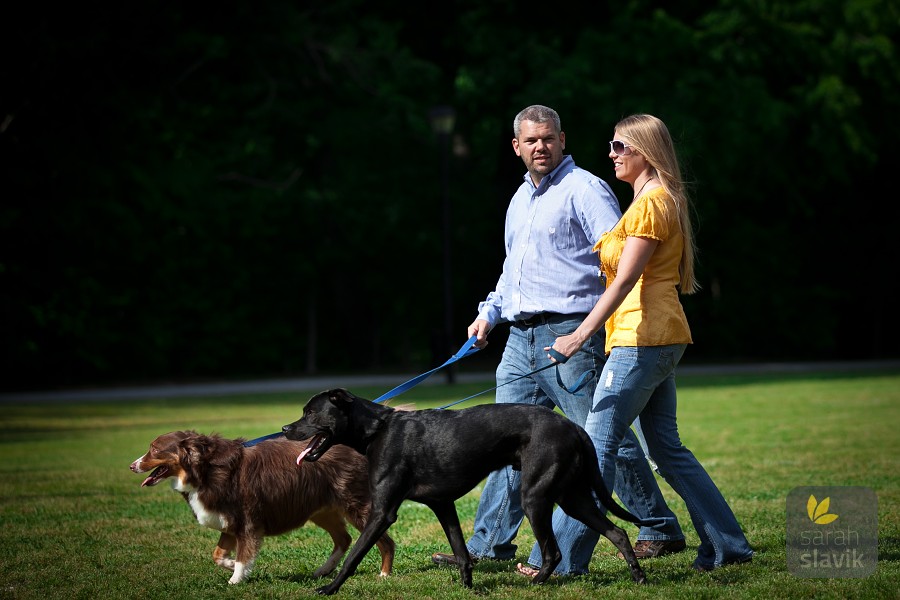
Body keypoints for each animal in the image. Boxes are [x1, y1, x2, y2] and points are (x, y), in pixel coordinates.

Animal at [130, 432, 394, 584]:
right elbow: (218, 555)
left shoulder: (247, 522)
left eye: (154, 449)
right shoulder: (229, 523)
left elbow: (243, 555)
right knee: (343, 539)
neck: (206, 469)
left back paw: (384, 574)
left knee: (385, 541)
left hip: (355, 506)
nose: (132, 466)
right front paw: (230, 565)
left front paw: (235, 579)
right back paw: (323, 571)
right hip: (321, 511)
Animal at [282, 390, 648, 596]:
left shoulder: (383, 513)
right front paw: (469, 588)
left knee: (554, 552)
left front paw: (329, 588)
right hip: (572, 497)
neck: (377, 430)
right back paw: (638, 576)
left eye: (311, 413)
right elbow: (460, 551)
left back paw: (535, 584)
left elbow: (354, 555)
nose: (285, 428)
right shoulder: (443, 505)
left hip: (536, 498)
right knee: (617, 532)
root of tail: (573, 427)